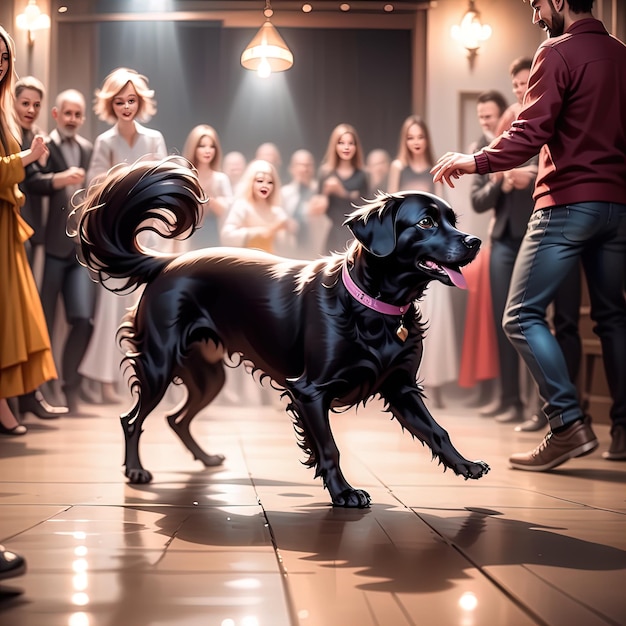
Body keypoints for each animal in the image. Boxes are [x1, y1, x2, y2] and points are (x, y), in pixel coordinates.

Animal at [75, 157, 488, 508]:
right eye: (426, 223)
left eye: (453, 220)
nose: (475, 241)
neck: (372, 304)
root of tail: (167, 263)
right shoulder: (309, 392)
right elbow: (329, 448)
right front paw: (344, 493)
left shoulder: (401, 387)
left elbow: (438, 431)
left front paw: (465, 465)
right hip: (159, 366)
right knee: (132, 420)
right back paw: (135, 471)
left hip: (208, 376)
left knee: (177, 418)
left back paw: (206, 458)